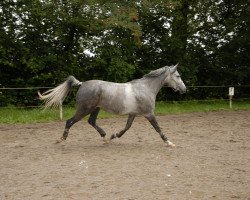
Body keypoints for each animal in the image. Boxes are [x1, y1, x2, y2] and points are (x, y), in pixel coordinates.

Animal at [38, 64, 186, 147]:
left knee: (91, 122)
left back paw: (105, 138)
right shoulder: (149, 114)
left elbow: (126, 128)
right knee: (70, 121)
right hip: (84, 109)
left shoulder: (133, 113)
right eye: (178, 76)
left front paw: (114, 136)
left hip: (95, 109)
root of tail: (82, 84)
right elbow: (158, 128)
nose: (184, 89)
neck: (145, 88)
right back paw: (61, 139)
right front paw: (169, 142)